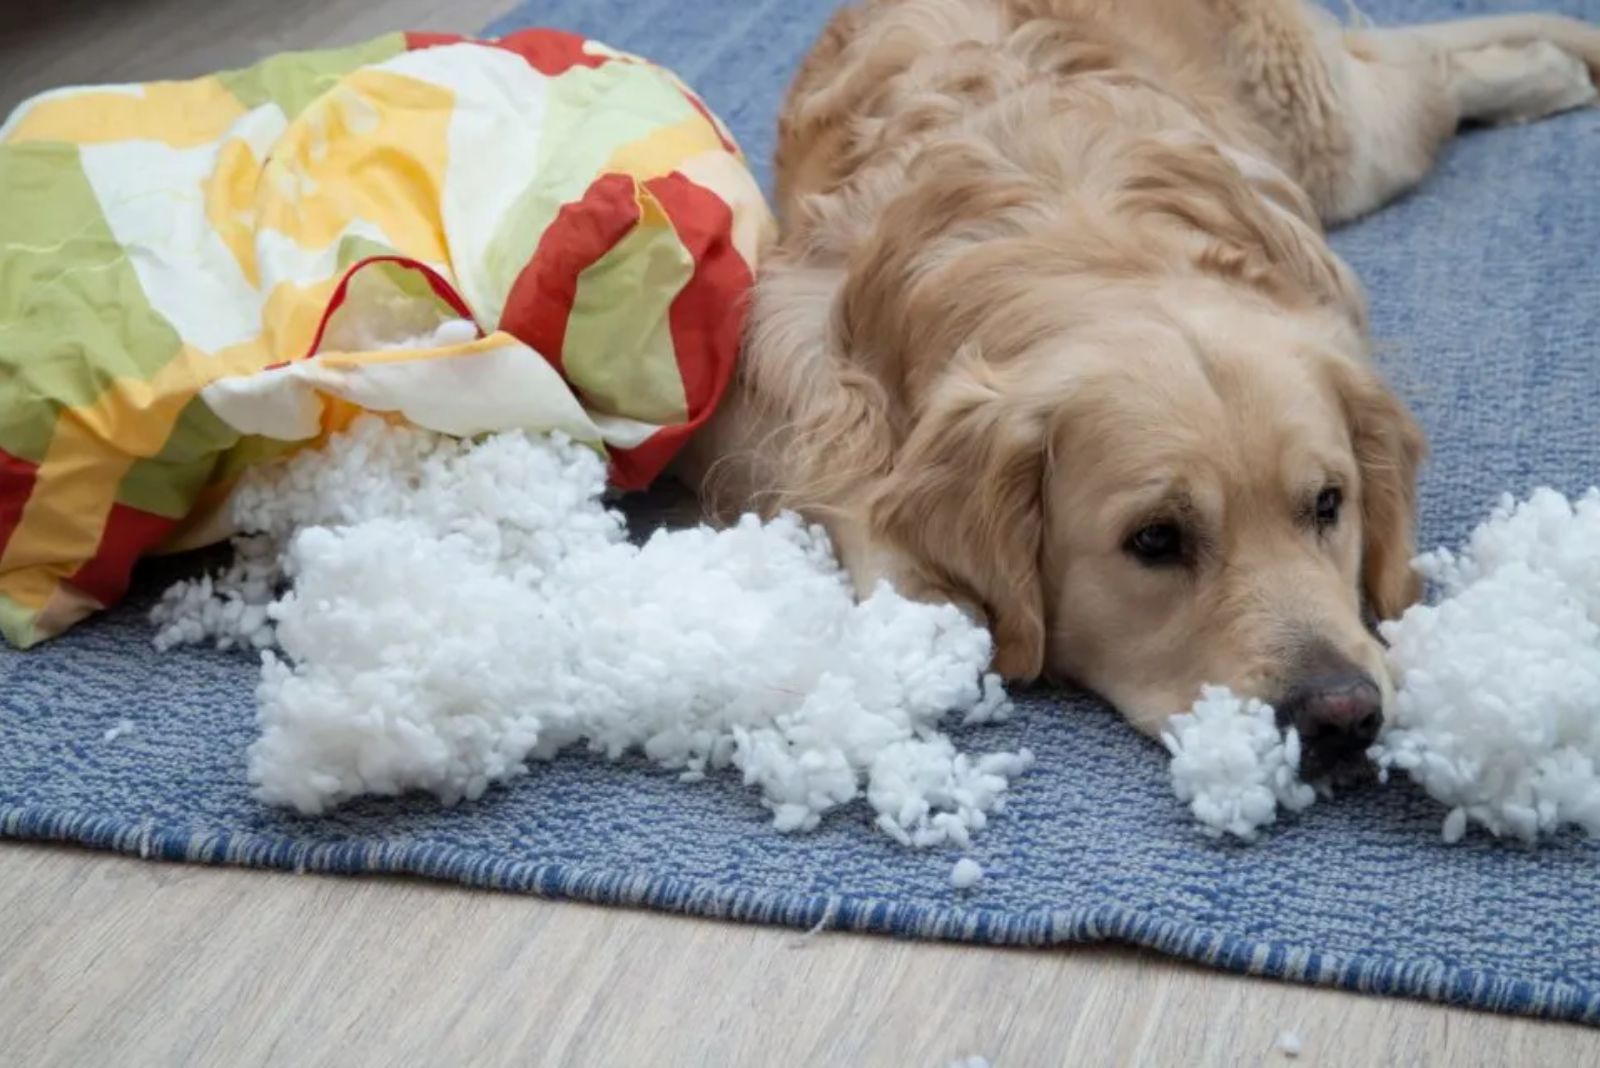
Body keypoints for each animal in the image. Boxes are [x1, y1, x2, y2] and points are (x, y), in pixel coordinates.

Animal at [681, 0, 1600, 770]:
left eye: (1329, 504)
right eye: (1155, 540)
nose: (1343, 716)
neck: (1073, 241)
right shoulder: (766, 379)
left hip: (1334, 137)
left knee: (1417, 71)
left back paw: (1551, 67)